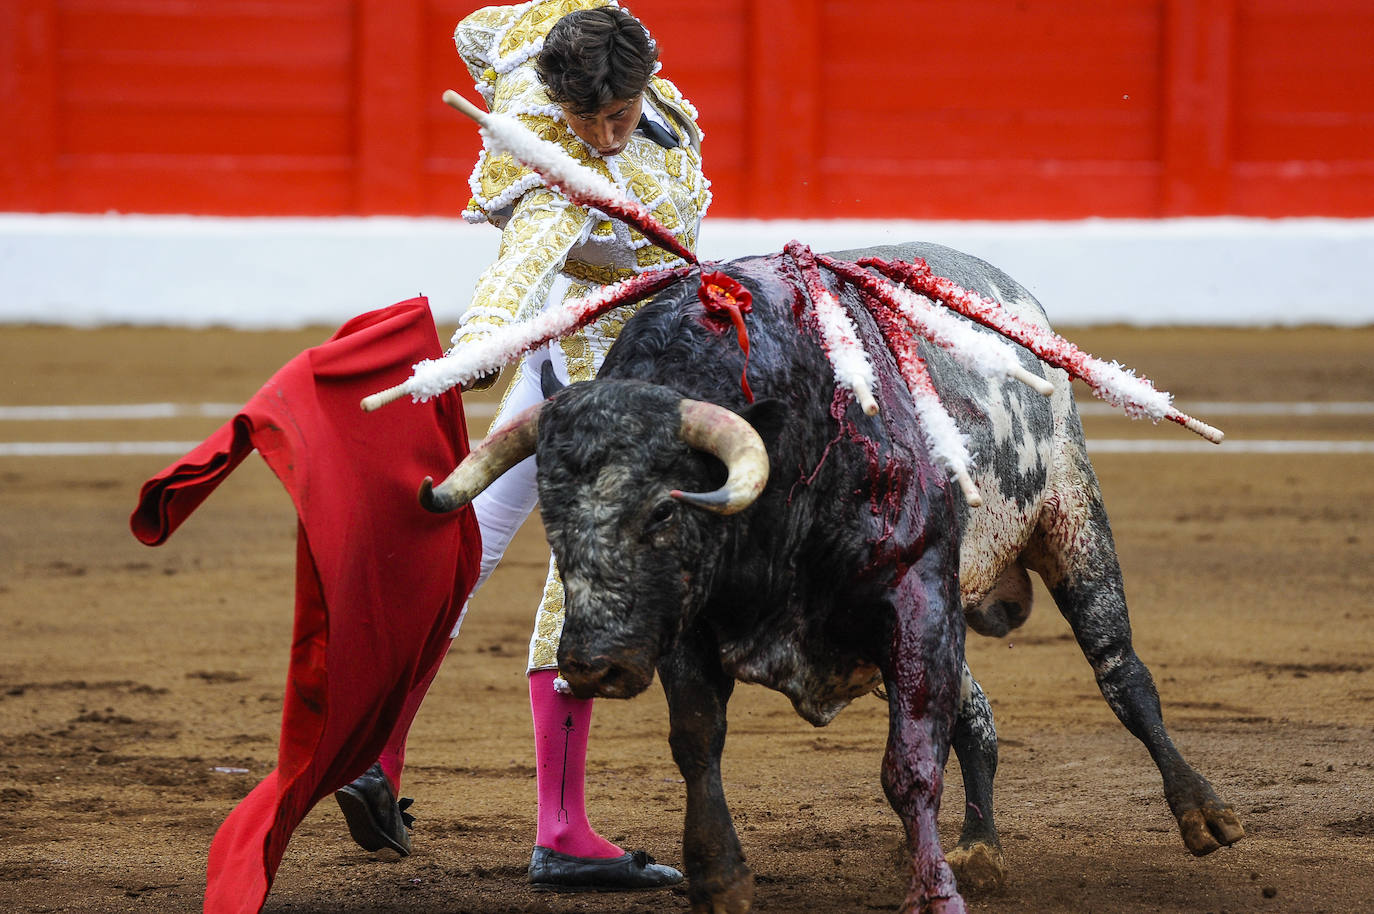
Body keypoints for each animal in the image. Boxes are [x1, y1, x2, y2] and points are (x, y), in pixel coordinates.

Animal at [420, 241, 1247, 912]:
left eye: (661, 512)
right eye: (552, 519)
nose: (592, 664)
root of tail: (1007, 290)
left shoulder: (914, 597)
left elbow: (909, 765)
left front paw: (932, 895)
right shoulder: (689, 622)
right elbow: (697, 743)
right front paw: (719, 881)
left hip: (1070, 518)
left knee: (1120, 672)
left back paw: (1203, 814)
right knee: (976, 717)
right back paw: (980, 848)